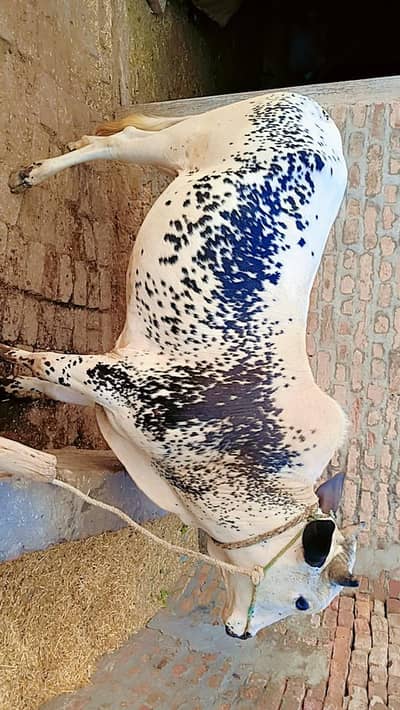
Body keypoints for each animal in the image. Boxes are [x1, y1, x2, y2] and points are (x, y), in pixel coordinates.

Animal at [2, 91, 358, 639]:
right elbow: (41, 360)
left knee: (122, 135)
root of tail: (315, 110)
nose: (241, 634)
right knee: (122, 143)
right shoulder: (117, 381)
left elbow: (42, 379)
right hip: (191, 140)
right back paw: (33, 174)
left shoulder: (107, 381)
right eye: (303, 602)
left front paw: (14, 388)